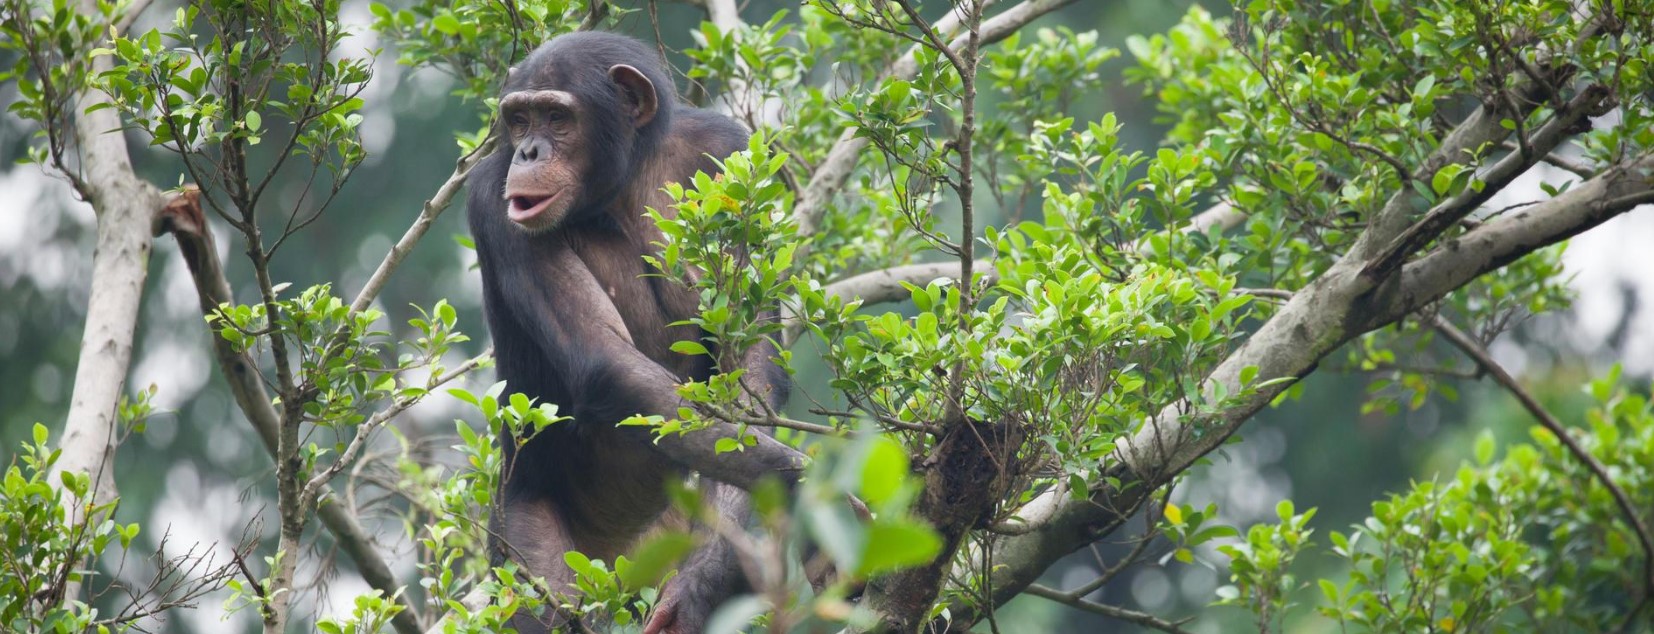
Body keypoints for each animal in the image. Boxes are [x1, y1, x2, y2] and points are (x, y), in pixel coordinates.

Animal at [464, 32, 809, 634]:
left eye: (556, 118)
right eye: (519, 119)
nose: (529, 153)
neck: (625, 175)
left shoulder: (732, 153)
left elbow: (746, 369)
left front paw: (701, 583)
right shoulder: (489, 194)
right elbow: (607, 362)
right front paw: (796, 475)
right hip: (519, 538)